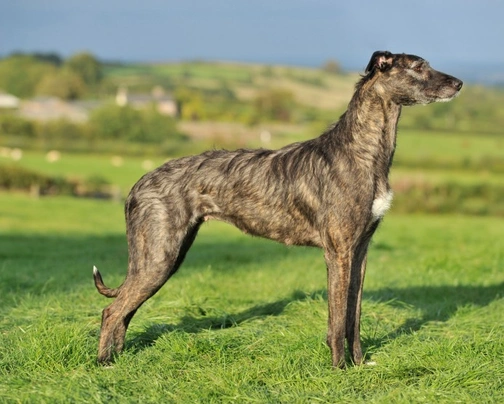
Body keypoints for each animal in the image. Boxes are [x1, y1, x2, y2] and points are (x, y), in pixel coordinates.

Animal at [92, 52, 462, 368]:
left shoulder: (360, 250)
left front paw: (359, 364)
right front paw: (339, 369)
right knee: (112, 311)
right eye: (418, 66)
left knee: (124, 311)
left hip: (164, 255)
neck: (361, 150)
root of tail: (138, 184)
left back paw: (119, 360)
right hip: (159, 257)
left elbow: (353, 317)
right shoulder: (338, 251)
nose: (459, 83)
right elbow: (337, 319)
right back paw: (104, 363)